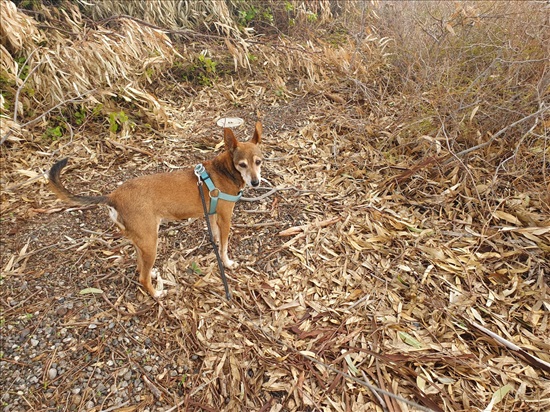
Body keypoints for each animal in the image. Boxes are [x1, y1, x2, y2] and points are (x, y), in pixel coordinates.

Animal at [48, 121, 264, 296]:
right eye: (242, 164)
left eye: (258, 162)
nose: (255, 182)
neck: (224, 170)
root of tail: (113, 196)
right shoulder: (225, 217)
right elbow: (225, 245)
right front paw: (227, 263)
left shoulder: (211, 214)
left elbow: (217, 238)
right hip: (151, 241)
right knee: (142, 277)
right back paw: (157, 293)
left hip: (142, 240)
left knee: (139, 266)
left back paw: (151, 273)